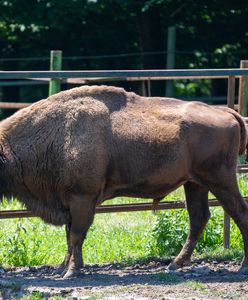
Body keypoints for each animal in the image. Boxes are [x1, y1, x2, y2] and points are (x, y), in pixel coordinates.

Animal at [0, 85, 248, 278]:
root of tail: (225, 111)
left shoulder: (83, 198)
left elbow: (77, 234)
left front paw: (71, 271)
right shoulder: (70, 202)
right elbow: (70, 237)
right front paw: (62, 268)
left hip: (220, 179)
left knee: (238, 212)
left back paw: (242, 266)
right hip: (195, 184)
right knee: (199, 218)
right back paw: (175, 264)